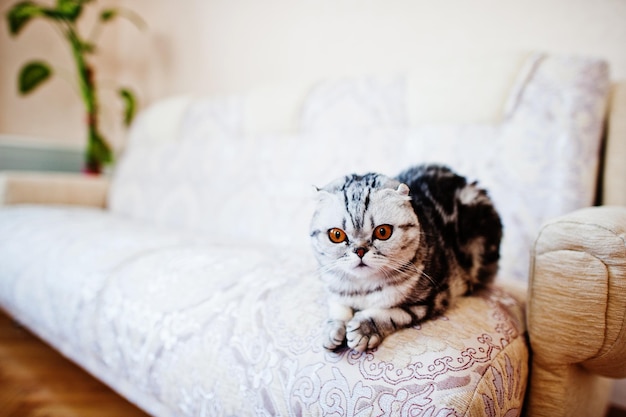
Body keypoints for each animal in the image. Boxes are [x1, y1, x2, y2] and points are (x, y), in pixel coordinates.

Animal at [310, 162, 500, 352]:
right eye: (336, 235)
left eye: (383, 232)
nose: (360, 251)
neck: (363, 290)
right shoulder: (335, 287)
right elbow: (338, 306)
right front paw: (332, 330)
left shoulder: (430, 300)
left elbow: (390, 314)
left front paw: (364, 329)